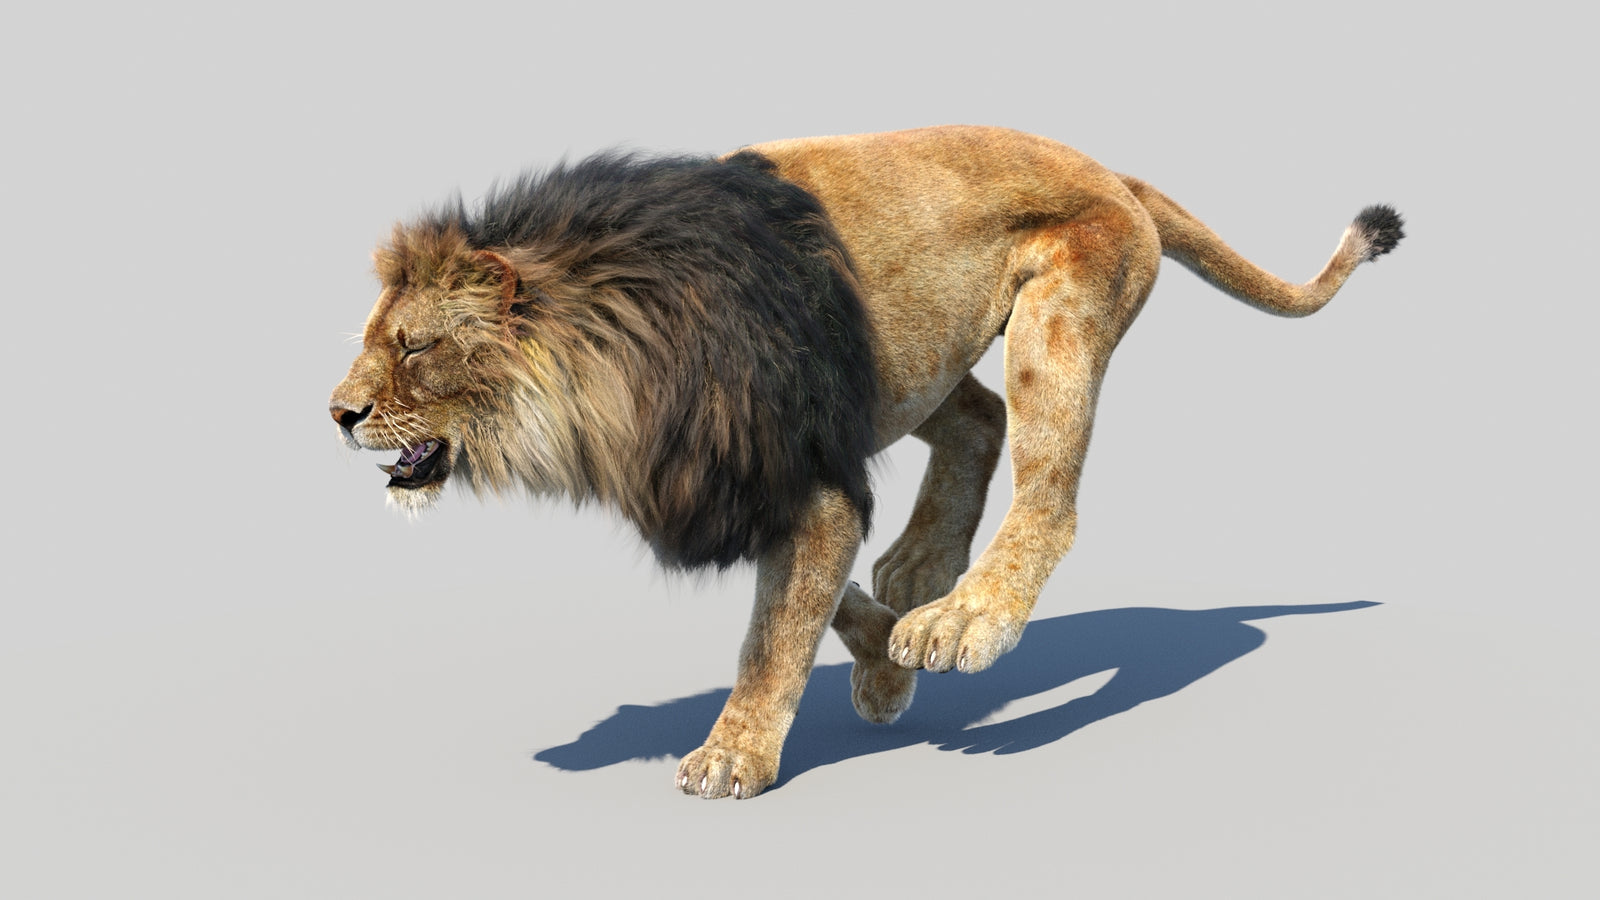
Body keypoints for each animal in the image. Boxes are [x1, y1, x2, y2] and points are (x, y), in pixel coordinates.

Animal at [330, 125, 1403, 799]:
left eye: (417, 347)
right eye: (374, 339)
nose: (337, 414)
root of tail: (1110, 170)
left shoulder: (799, 476)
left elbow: (775, 631)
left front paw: (734, 757)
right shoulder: (747, 484)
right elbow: (819, 598)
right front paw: (886, 667)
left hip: (1057, 317)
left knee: (1048, 489)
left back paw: (967, 617)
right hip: (908, 363)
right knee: (979, 419)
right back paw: (922, 572)